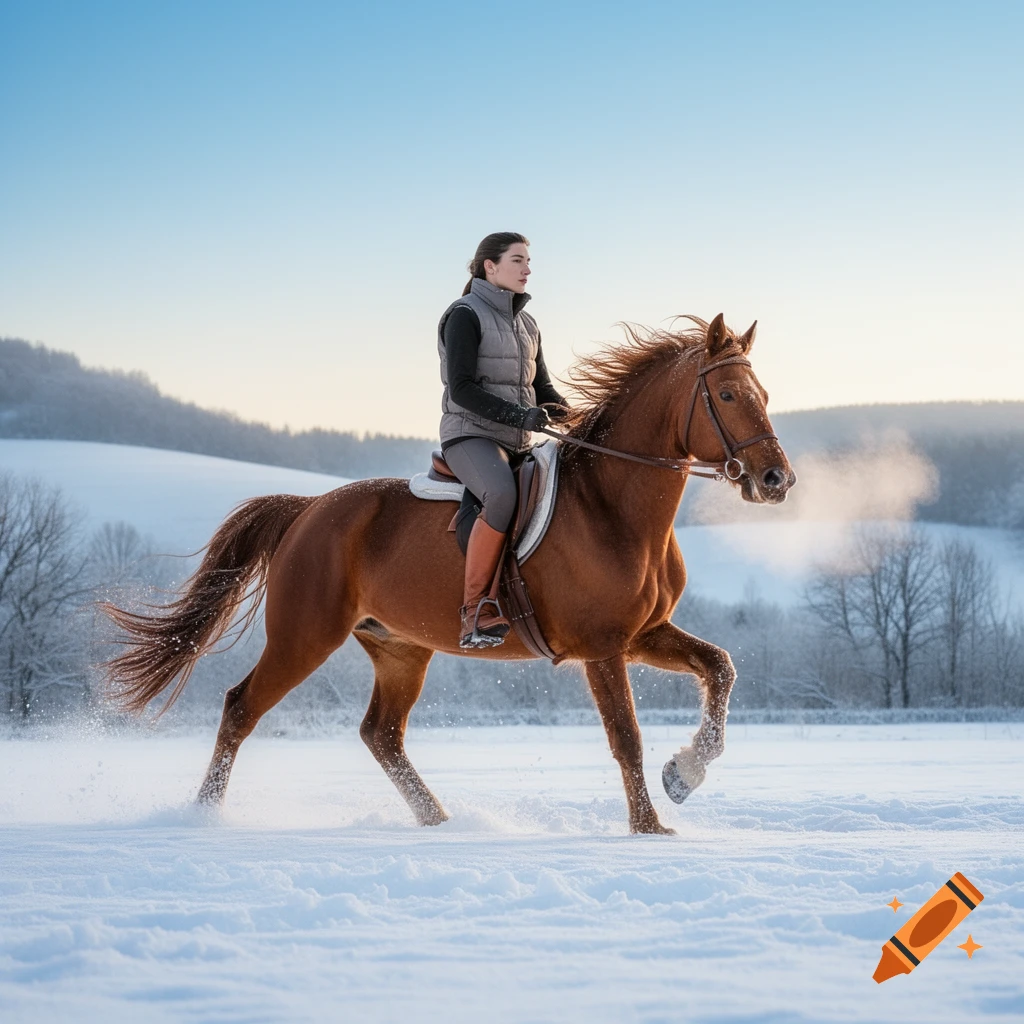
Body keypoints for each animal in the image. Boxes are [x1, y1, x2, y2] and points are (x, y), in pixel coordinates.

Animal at [102, 313, 795, 834]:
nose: (776, 480)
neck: (612, 507)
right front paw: (650, 826)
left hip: (400, 648)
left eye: (763, 396)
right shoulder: (603, 648)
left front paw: (686, 774)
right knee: (241, 707)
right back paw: (203, 816)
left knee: (380, 733)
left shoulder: (642, 635)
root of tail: (308, 509)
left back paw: (440, 820)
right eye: (727, 396)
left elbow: (721, 668)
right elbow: (626, 738)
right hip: (304, 637)